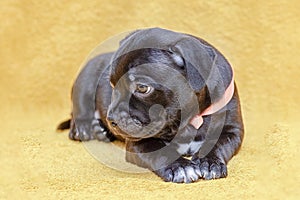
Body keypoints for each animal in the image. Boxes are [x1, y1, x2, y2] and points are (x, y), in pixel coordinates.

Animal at [58, 27, 244, 183]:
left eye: (142, 87)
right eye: (112, 85)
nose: (112, 120)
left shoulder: (232, 130)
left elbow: (219, 144)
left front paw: (210, 162)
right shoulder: (139, 142)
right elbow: (162, 151)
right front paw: (181, 167)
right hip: (85, 80)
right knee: (78, 111)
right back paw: (84, 129)